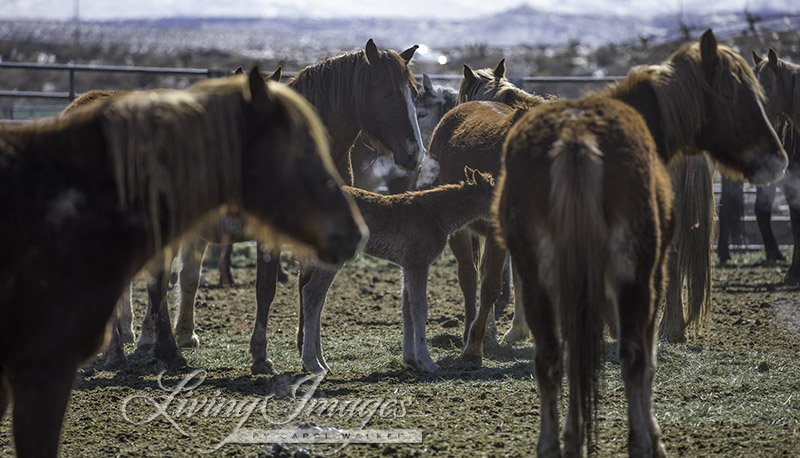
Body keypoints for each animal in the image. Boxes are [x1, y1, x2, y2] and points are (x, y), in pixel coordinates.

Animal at [294, 168, 494, 376]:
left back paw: (322, 363)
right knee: (312, 294)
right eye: (495, 193)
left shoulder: (407, 265)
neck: (435, 215)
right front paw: (427, 362)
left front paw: (411, 360)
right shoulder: (418, 263)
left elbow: (406, 308)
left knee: (317, 299)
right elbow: (419, 308)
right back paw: (313, 364)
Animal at [496, 30, 784, 456]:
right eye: (733, 92)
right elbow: (643, 358)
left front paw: (573, 436)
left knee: (549, 356)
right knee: (632, 355)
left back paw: (551, 444)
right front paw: (649, 437)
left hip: (537, 281)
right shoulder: (650, 276)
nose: (777, 158)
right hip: (635, 279)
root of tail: (576, 139)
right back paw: (642, 441)